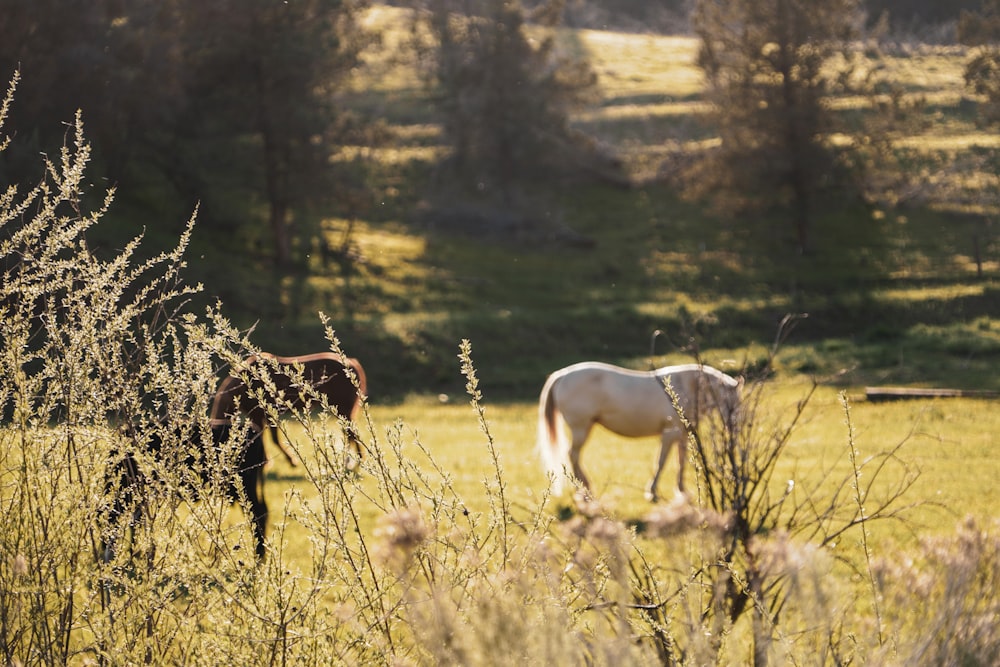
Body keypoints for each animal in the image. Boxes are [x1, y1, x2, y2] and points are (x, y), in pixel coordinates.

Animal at [210, 352, 368, 468]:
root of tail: (351, 363)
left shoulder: (263, 414)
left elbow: (271, 439)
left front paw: (287, 461)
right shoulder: (260, 416)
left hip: (343, 409)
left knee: (351, 433)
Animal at [540, 366, 744, 500]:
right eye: (730, 402)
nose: (735, 427)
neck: (687, 387)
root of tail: (561, 375)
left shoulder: (683, 435)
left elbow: (682, 461)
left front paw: (682, 491)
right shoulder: (669, 433)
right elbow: (661, 462)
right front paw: (652, 492)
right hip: (581, 428)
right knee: (572, 455)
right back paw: (584, 491)